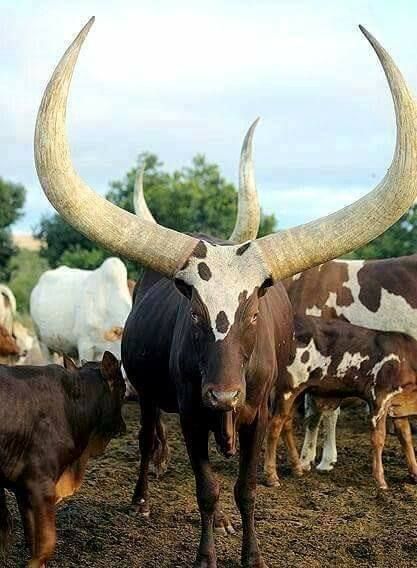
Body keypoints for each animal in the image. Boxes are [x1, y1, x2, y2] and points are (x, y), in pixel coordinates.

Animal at [264, 318, 416, 490]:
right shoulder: (379, 399)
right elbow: (378, 438)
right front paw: (380, 480)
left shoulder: (398, 407)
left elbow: (406, 437)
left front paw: (414, 473)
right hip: (288, 390)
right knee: (274, 426)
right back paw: (272, 476)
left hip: (299, 392)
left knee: (287, 424)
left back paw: (297, 468)